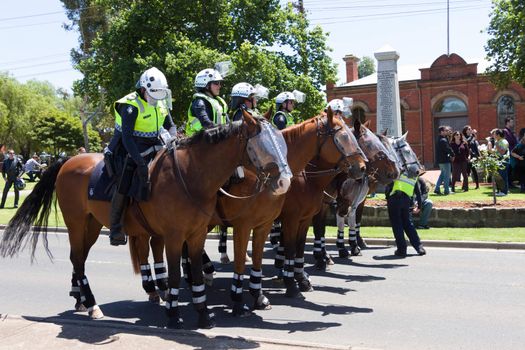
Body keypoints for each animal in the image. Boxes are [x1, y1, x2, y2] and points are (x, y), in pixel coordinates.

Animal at [0, 111, 290, 328]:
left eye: (281, 142)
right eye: (262, 146)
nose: (284, 182)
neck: (190, 175)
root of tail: (68, 160)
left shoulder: (197, 234)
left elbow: (195, 271)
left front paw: (203, 313)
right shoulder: (176, 235)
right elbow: (175, 274)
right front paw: (174, 315)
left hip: (93, 225)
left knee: (81, 258)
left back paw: (84, 298)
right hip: (76, 223)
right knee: (79, 260)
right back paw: (92, 304)